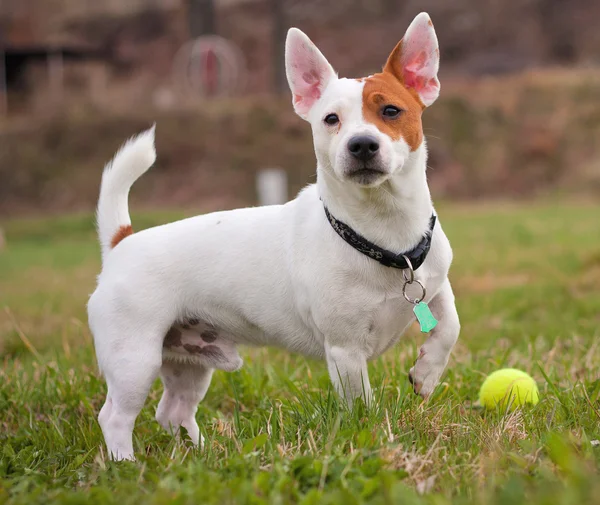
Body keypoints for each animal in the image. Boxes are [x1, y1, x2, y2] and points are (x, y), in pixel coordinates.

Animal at [86, 11, 460, 460]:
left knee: (172, 411)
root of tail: (121, 242)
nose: (361, 144)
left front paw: (426, 373)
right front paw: (369, 433)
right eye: (330, 120)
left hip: (189, 360)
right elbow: (361, 403)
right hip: (134, 359)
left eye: (391, 110)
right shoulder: (345, 351)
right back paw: (126, 464)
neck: (385, 235)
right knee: (115, 417)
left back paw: (207, 452)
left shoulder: (435, 284)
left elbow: (449, 326)